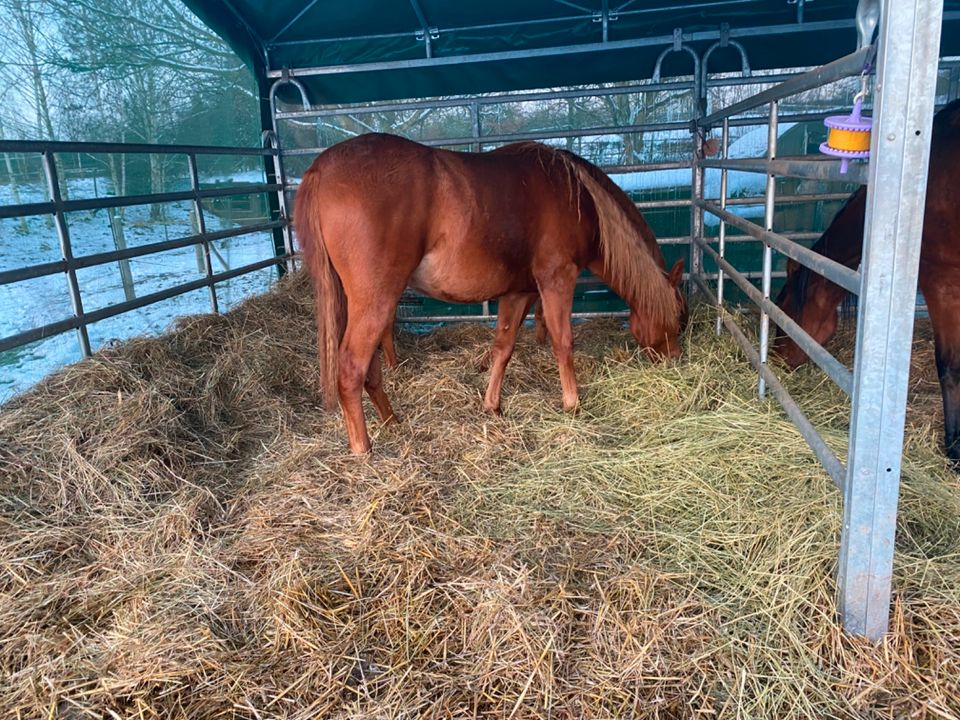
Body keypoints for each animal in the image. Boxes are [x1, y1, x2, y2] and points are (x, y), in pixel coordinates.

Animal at [296, 132, 688, 452]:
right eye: (680, 320)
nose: (673, 361)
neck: (579, 197)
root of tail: (320, 169)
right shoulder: (557, 279)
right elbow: (563, 342)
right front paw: (572, 404)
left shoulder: (519, 293)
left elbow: (503, 347)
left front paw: (492, 405)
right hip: (377, 300)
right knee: (351, 368)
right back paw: (363, 450)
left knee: (369, 369)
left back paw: (391, 422)